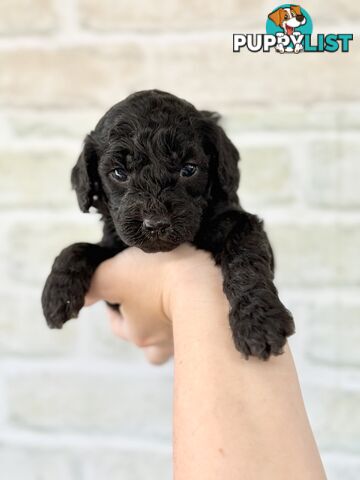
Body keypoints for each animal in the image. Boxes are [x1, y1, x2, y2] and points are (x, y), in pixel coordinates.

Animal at [43, 90, 296, 360]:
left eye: (189, 169)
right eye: (119, 173)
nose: (156, 224)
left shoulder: (240, 223)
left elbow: (245, 255)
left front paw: (258, 324)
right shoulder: (114, 246)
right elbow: (78, 247)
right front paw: (56, 295)